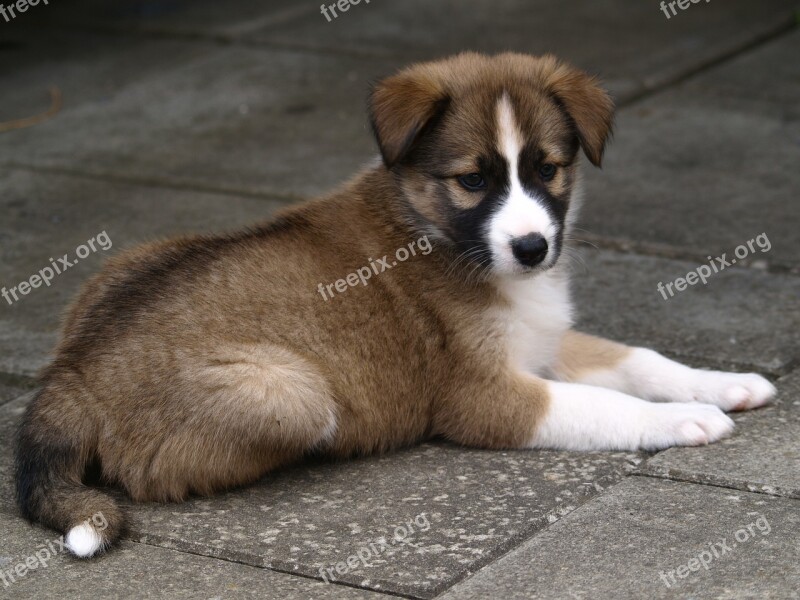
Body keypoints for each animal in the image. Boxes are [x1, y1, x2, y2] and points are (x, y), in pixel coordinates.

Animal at [14, 51, 776, 556]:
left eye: (548, 169)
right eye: (473, 180)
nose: (533, 248)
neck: (433, 228)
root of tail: (70, 374)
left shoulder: (546, 337)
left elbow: (639, 358)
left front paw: (725, 383)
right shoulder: (483, 397)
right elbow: (603, 404)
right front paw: (682, 420)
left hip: (126, 263)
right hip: (288, 392)